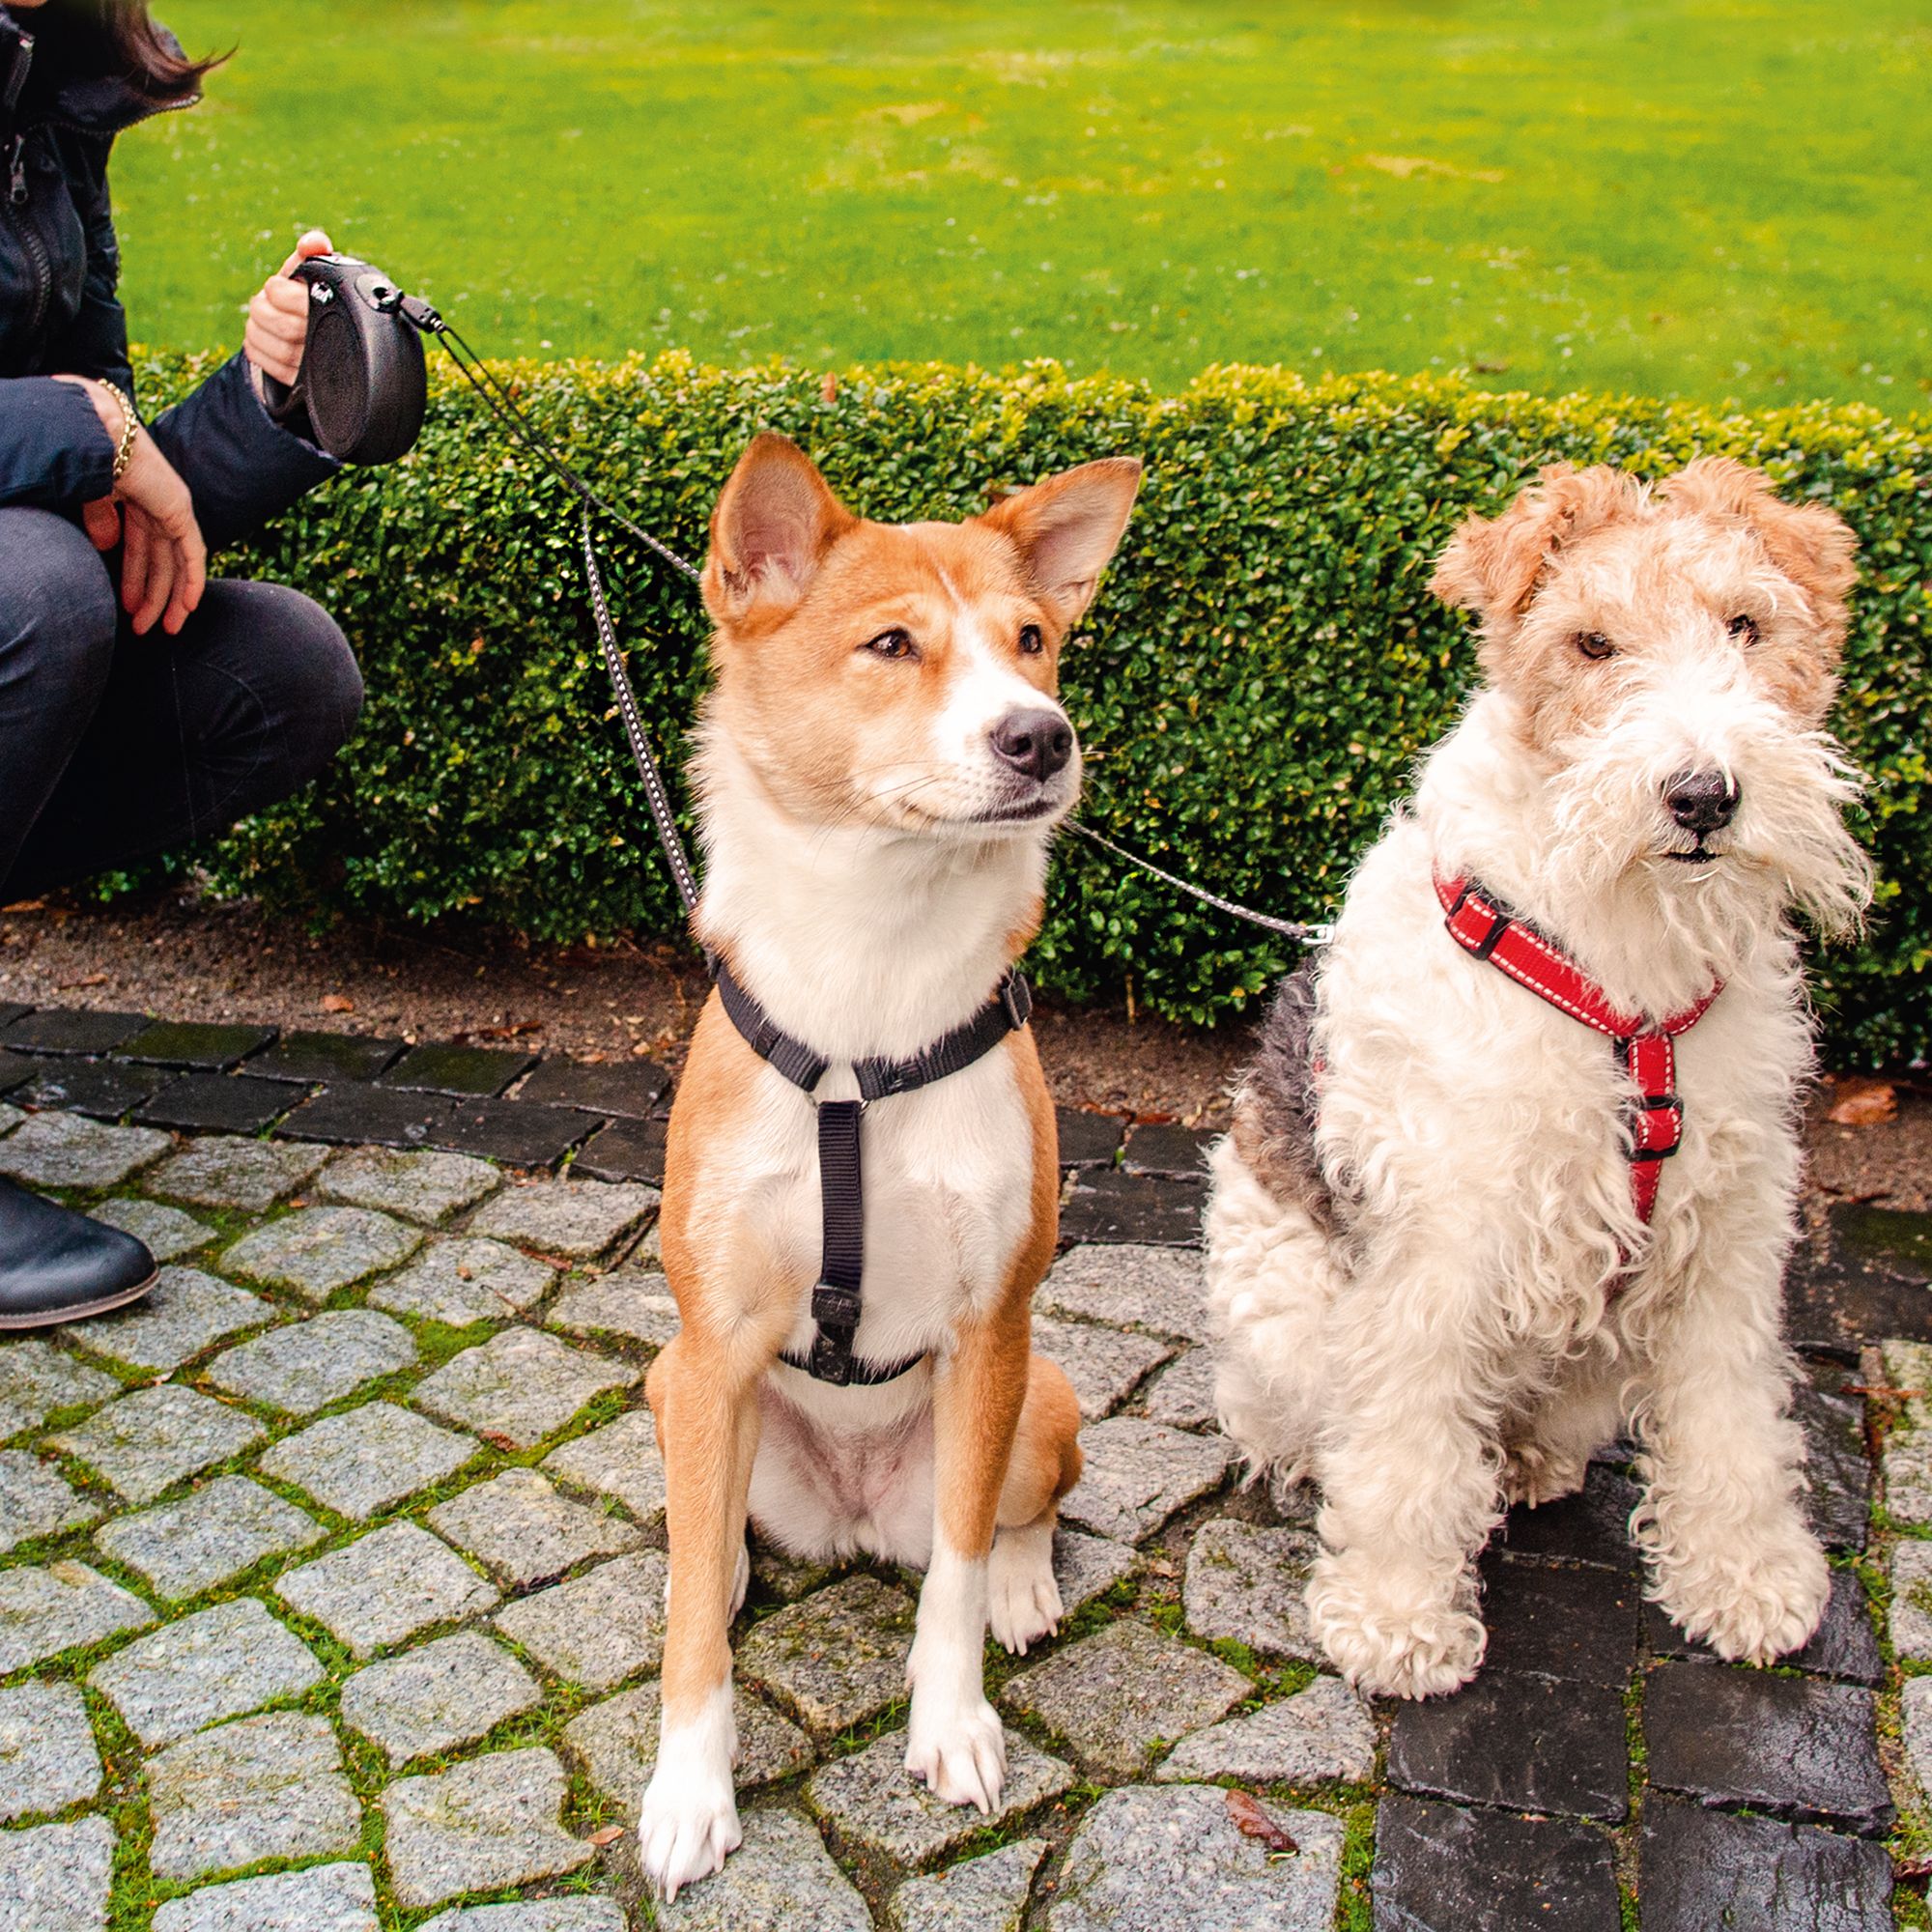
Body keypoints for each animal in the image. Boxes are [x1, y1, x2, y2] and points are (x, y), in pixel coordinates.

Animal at [641, 431, 1136, 1893]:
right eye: (892, 644)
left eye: (1032, 641)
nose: (1040, 735)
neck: (871, 997)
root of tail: (857, 1517)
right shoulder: (714, 1341)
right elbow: (691, 1622)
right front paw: (687, 1794)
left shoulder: (990, 1328)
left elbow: (957, 1579)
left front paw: (953, 1723)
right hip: (669, 1384)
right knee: (711, 1528)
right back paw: (725, 1566)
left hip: (1043, 1399)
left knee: (1008, 1517)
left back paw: (1027, 1585)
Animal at [1206, 464, 1870, 1708]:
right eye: (1590, 642)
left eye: (1746, 624)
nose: (1701, 797)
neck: (1627, 974)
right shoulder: (1439, 1238)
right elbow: (1405, 1442)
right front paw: (1395, 1618)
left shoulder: (1726, 1240)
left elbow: (1729, 1421)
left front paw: (1747, 1578)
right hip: (1287, 1315)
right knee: (1328, 1424)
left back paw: (1525, 1458)